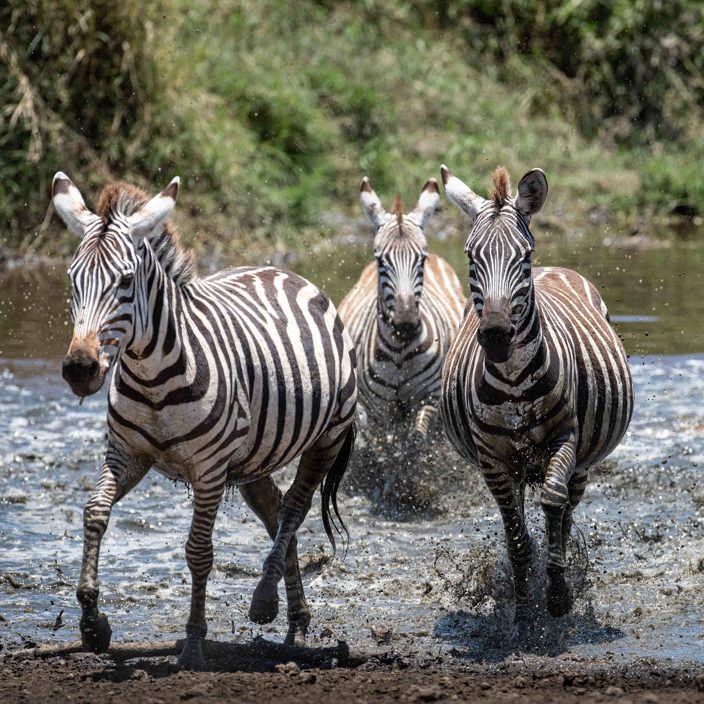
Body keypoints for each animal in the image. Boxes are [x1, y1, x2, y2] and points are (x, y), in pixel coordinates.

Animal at [52, 172, 357, 670]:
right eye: (73, 280)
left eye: (125, 281)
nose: (80, 369)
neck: (152, 377)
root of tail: (283, 271)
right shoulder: (127, 454)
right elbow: (94, 514)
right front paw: (93, 624)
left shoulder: (209, 470)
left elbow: (199, 551)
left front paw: (193, 644)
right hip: (254, 458)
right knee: (276, 514)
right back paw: (295, 617)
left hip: (325, 439)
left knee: (295, 508)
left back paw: (264, 599)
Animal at [337, 177, 465, 508]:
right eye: (380, 260)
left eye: (421, 259)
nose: (406, 324)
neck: (399, 353)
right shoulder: (378, 408)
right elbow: (384, 447)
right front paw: (387, 486)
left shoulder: (428, 398)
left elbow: (414, 444)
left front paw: (410, 486)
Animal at [440, 164, 633, 620]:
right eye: (471, 257)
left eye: (523, 257)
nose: (495, 336)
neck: (512, 380)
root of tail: (556, 268)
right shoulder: (492, 459)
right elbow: (515, 535)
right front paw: (524, 602)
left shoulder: (564, 439)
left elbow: (553, 505)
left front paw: (558, 592)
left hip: (580, 460)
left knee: (565, 508)